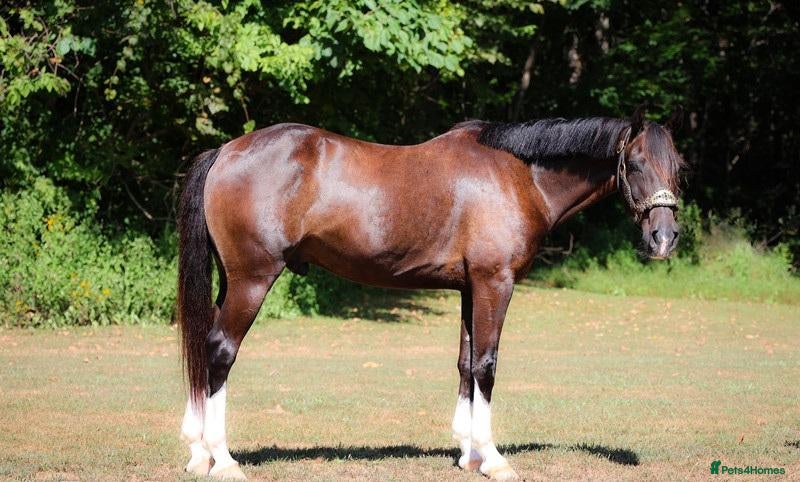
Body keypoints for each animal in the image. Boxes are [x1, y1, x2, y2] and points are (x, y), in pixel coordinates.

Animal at [177, 105, 685, 480]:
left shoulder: (469, 287)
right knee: (220, 350)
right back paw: (223, 459)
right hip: (252, 280)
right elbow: (486, 364)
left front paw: (468, 454)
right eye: (635, 163)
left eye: (677, 167)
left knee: (204, 348)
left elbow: (465, 362)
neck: (519, 176)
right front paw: (493, 458)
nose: (663, 239)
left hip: (232, 281)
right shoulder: (495, 283)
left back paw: (199, 453)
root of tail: (226, 151)